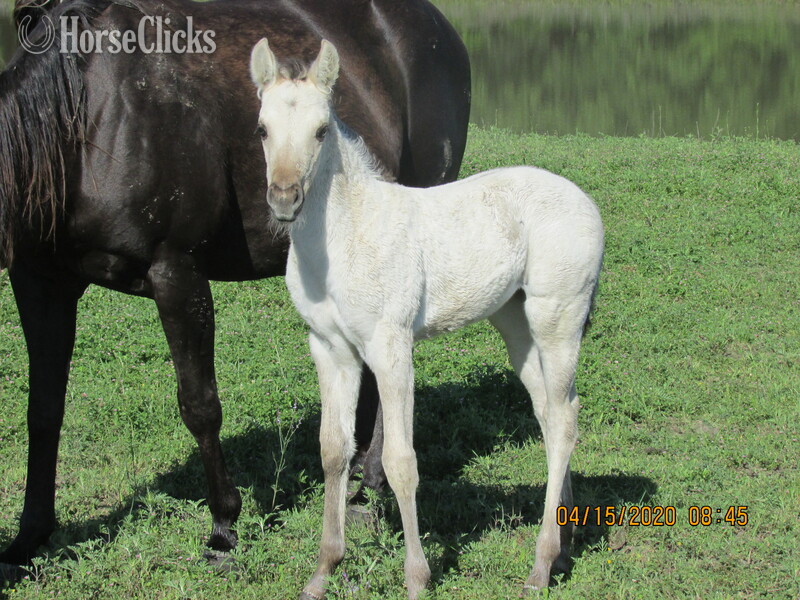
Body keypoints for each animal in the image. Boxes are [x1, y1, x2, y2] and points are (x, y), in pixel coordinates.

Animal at [0, 0, 470, 566]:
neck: (88, 119)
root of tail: (436, 28)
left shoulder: (176, 273)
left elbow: (200, 405)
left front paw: (224, 525)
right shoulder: (38, 282)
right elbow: (43, 410)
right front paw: (31, 534)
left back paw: (370, 487)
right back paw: (359, 474)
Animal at [249, 38, 604, 598]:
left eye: (322, 130)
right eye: (262, 129)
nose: (284, 199)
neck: (343, 238)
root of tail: (586, 202)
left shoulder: (390, 347)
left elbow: (400, 461)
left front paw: (417, 578)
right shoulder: (330, 348)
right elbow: (333, 450)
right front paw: (323, 572)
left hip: (558, 319)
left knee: (566, 418)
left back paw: (541, 564)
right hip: (516, 326)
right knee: (550, 414)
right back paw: (563, 549)